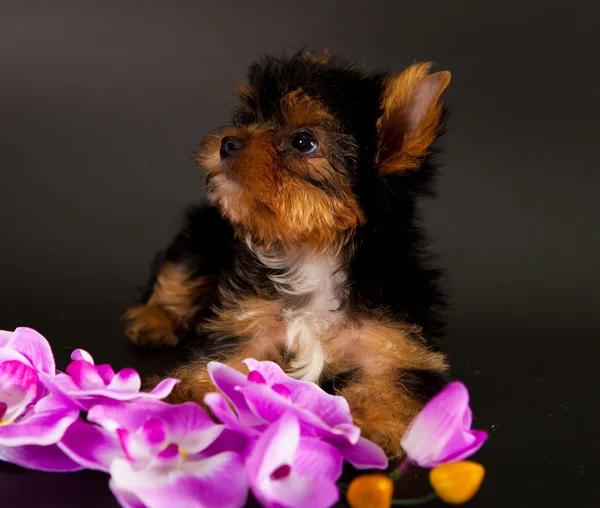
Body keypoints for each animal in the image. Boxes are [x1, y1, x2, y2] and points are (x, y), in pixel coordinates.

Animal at [122, 51, 450, 456]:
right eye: (247, 118)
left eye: (303, 141)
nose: (228, 142)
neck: (315, 251)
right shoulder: (250, 323)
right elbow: (219, 360)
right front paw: (178, 397)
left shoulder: (393, 339)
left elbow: (390, 381)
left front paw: (373, 422)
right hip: (204, 230)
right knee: (180, 270)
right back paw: (155, 319)